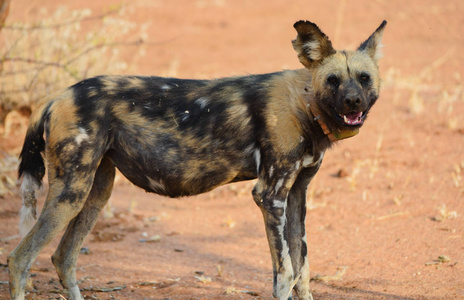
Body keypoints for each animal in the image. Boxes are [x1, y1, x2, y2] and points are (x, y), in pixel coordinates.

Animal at [9, 19, 386, 298]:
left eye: (364, 79)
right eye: (333, 80)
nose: (353, 102)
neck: (305, 104)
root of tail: (57, 95)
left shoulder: (295, 197)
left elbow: (302, 271)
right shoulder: (270, 196)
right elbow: (285, 275)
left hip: (94, 193)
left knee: (63, 257)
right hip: (70, 194)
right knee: (19, 259)